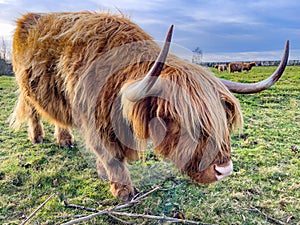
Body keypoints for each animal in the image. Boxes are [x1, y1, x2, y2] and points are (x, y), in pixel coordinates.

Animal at [10, 11, 290, 200]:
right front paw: (124, 191)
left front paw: (104, 174)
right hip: (26, 86)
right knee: (34, 111)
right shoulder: (92, 122)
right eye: (185, 121)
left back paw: (65, 139)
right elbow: (110, 156)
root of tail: (27, 18)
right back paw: (38, 137)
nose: (224, 170)